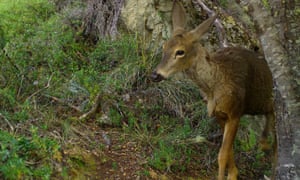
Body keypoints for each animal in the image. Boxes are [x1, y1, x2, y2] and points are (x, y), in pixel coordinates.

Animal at [151, 0, 276, 179]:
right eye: (164, 46)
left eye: (180, 51)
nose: (155, 74)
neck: (214, 87)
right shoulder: (218, 115)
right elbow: (229, 151)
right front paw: (233, 174)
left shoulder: (235, 112)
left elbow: (222, 154)